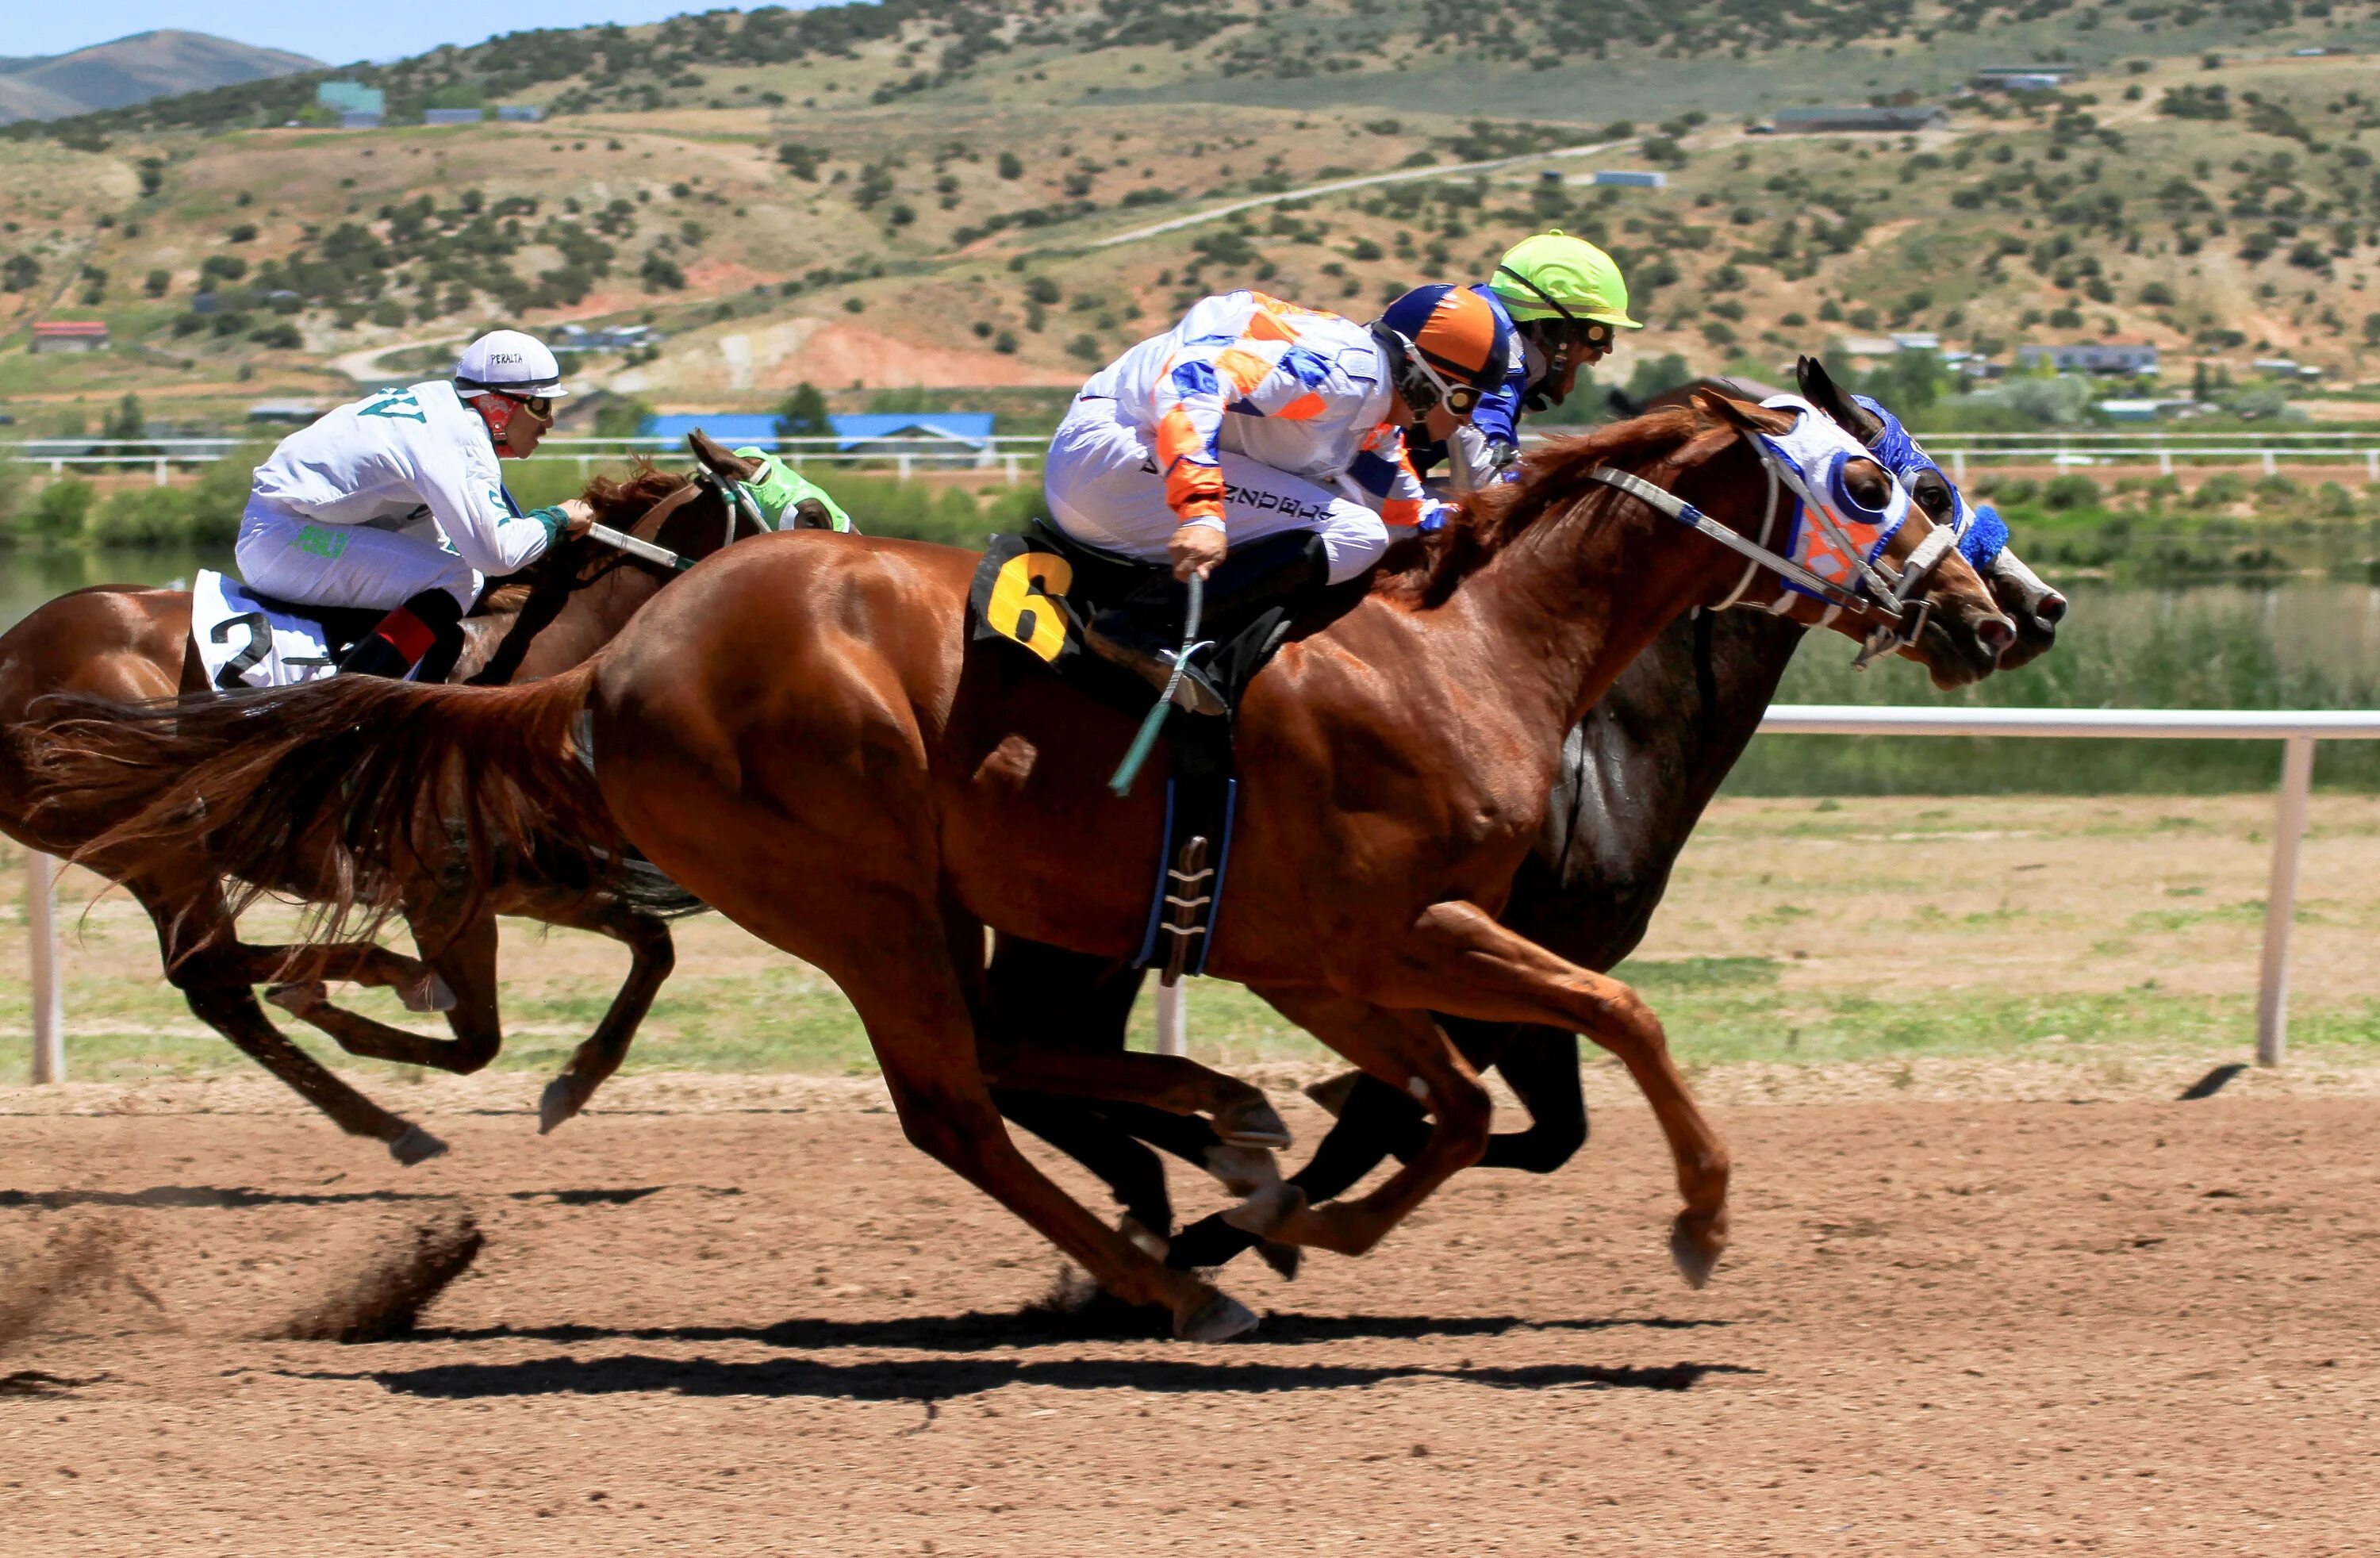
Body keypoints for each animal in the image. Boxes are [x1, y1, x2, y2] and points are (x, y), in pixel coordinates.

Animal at [0, 437, 762, 1156]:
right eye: (782, 509)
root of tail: (12, 648)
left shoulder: (523, 878)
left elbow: (652, 947)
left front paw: (574, 1082)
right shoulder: (441, 890)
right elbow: (478, 1039)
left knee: (217, 982)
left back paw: (378, 1087)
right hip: (163, 840)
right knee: (212, 971)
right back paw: (376, 991)